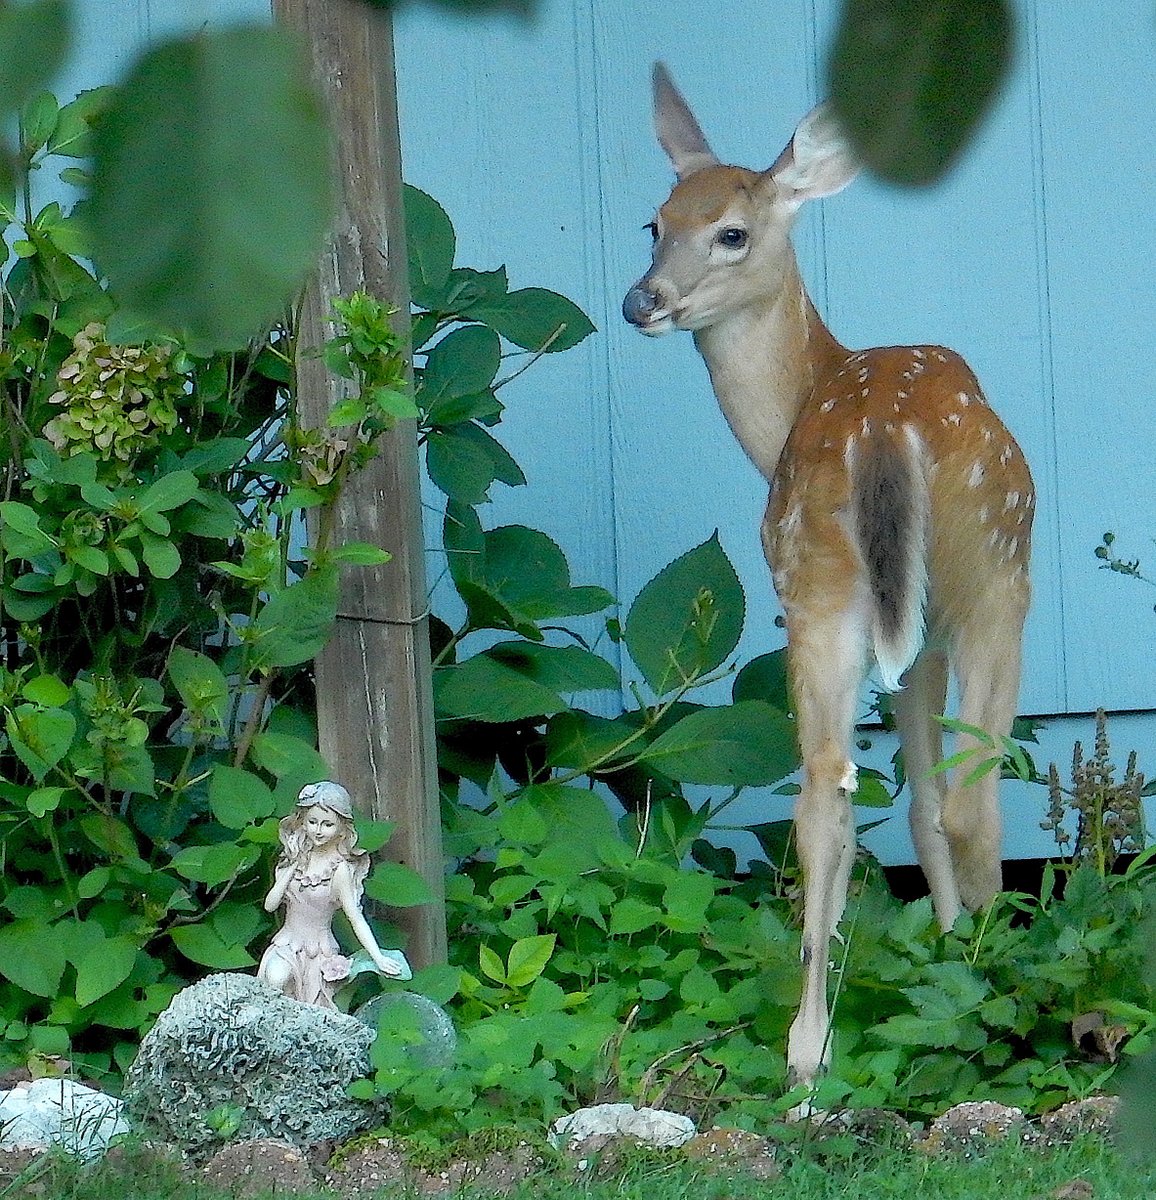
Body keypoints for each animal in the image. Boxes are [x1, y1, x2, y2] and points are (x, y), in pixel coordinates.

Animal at [622, 63, 1034, 1093]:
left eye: (726, 230)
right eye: (657, 222)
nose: (642, 301)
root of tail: (883, 427)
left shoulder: (891, 632)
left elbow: (901, 803)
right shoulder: (925, 640)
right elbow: (927, 802)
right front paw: (949, 938)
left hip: (812, 588)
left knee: (820, 793)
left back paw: (806, 1059)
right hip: (993, 571)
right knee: (969, 799)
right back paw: (993, 989)